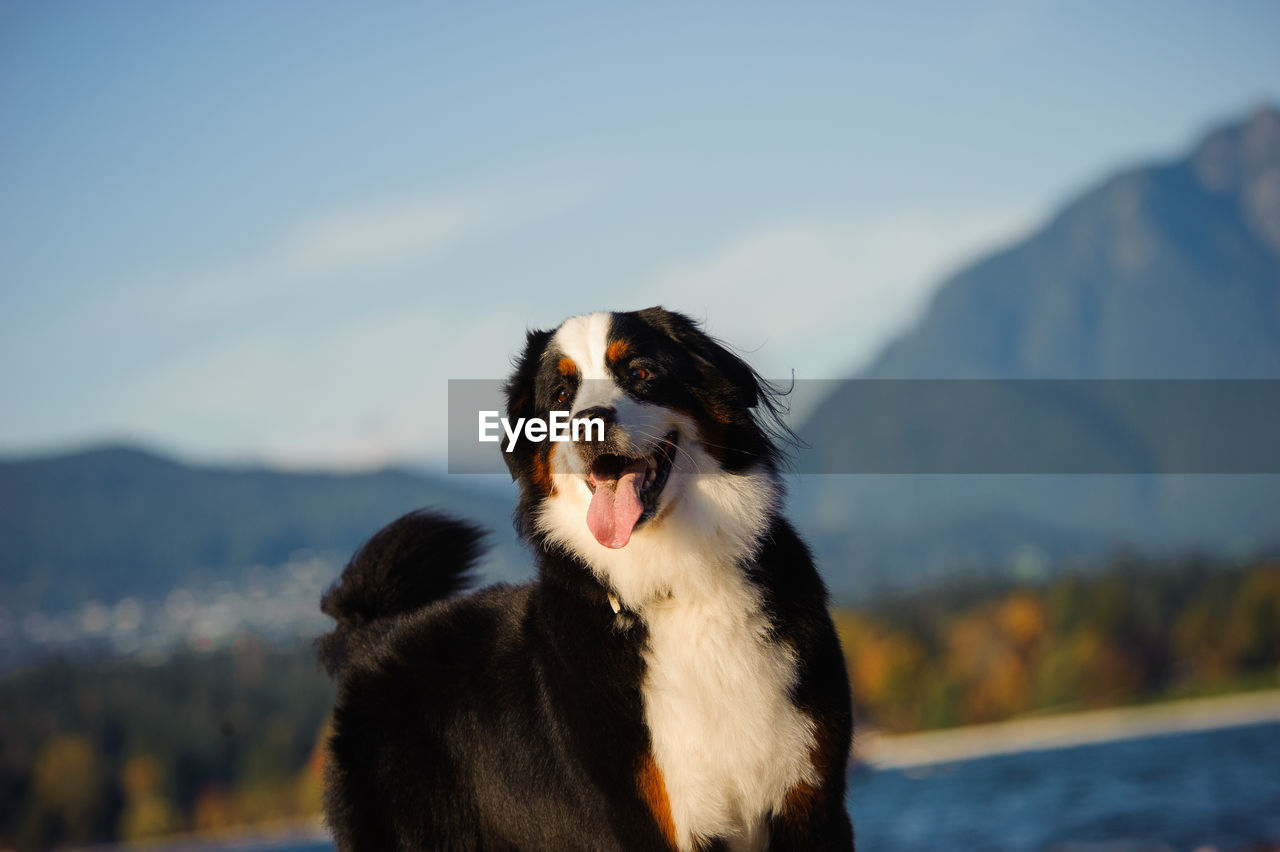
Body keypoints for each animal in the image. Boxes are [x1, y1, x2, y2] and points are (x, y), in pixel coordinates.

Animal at [314, 307, 855, 849]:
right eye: (559, 395)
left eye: (640, 372)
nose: (589, 422)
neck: (675, 585)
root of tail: (371, 634)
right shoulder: (643, 824)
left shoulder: (812, 804)